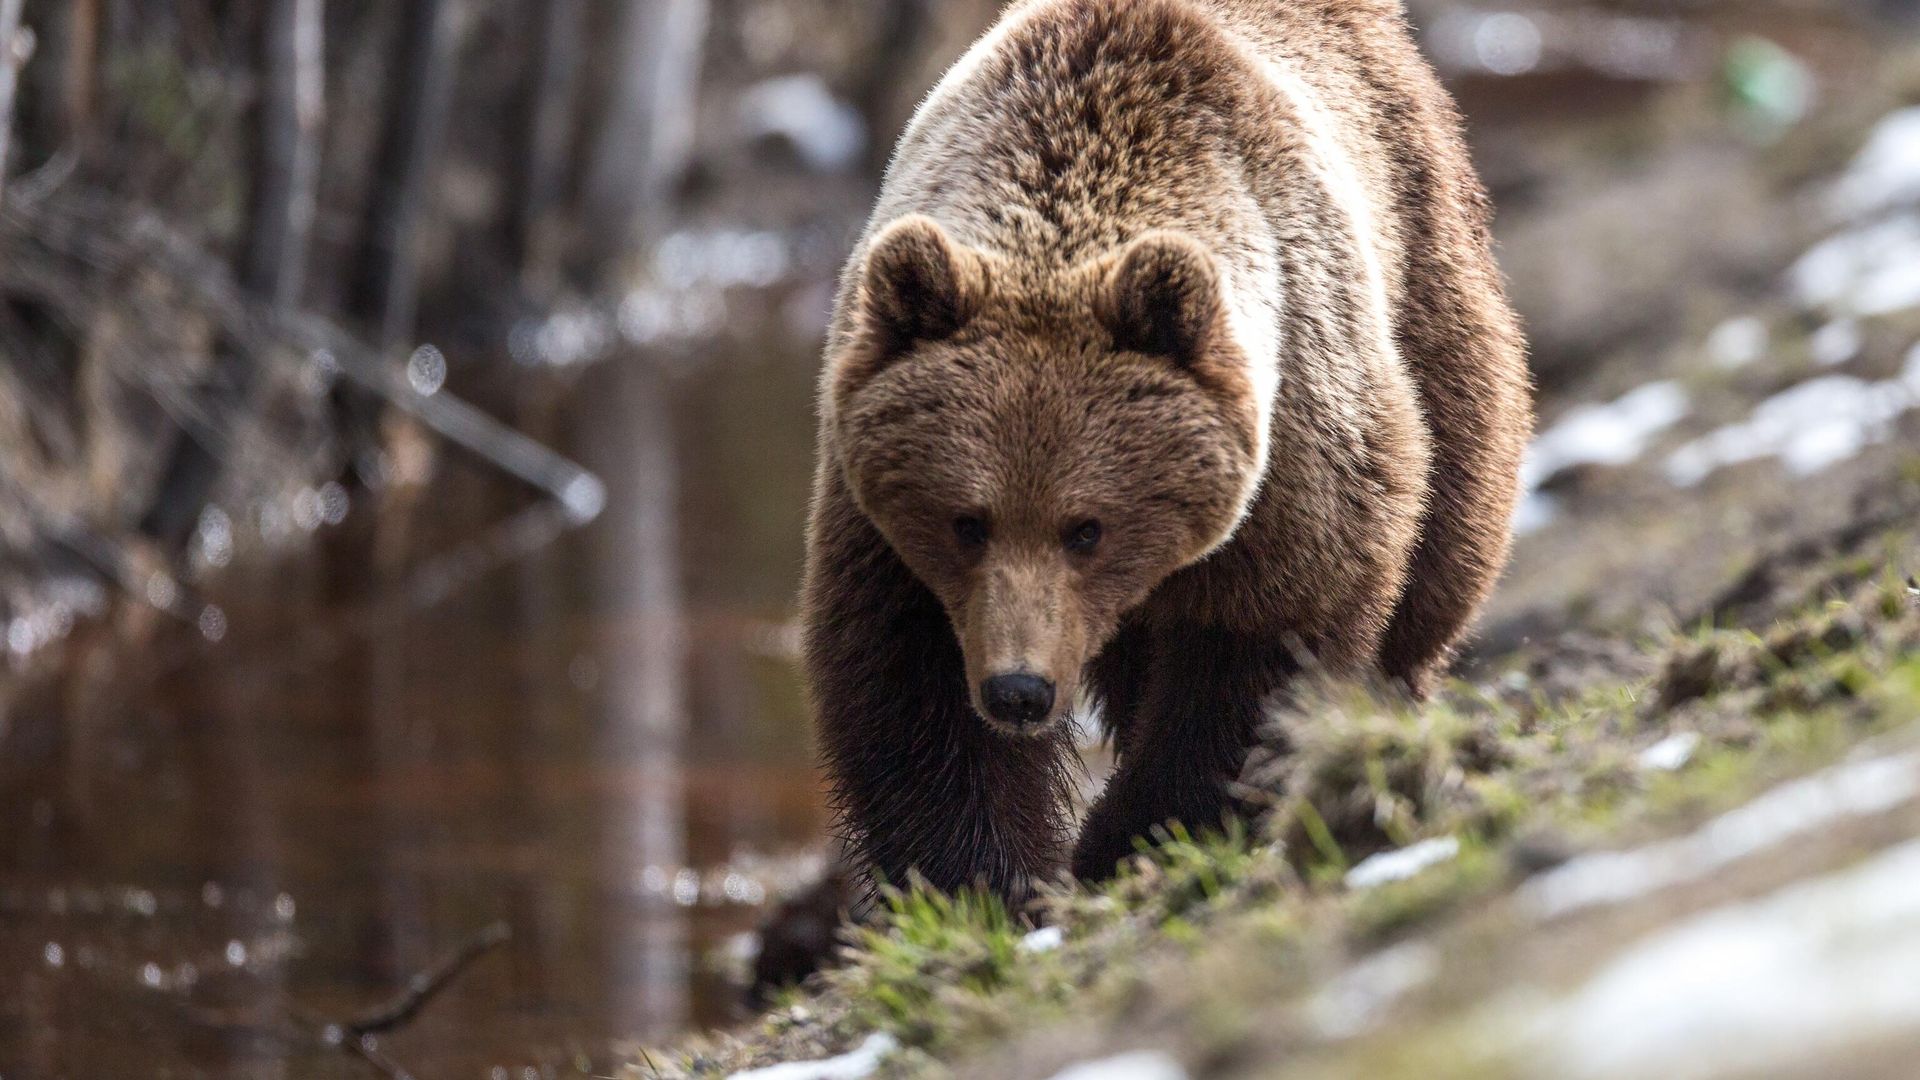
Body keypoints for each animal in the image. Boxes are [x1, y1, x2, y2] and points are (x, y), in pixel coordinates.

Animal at [801, 0, 1532, 903]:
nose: (1019, 690)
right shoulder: (878, 511)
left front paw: (1137, 834)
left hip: (1427, 274)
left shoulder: (1296, 443)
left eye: (1087, 527)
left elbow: (1260, 649)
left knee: (1445, 537)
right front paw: (988, 879)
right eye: (967, 521)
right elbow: (905, 679)